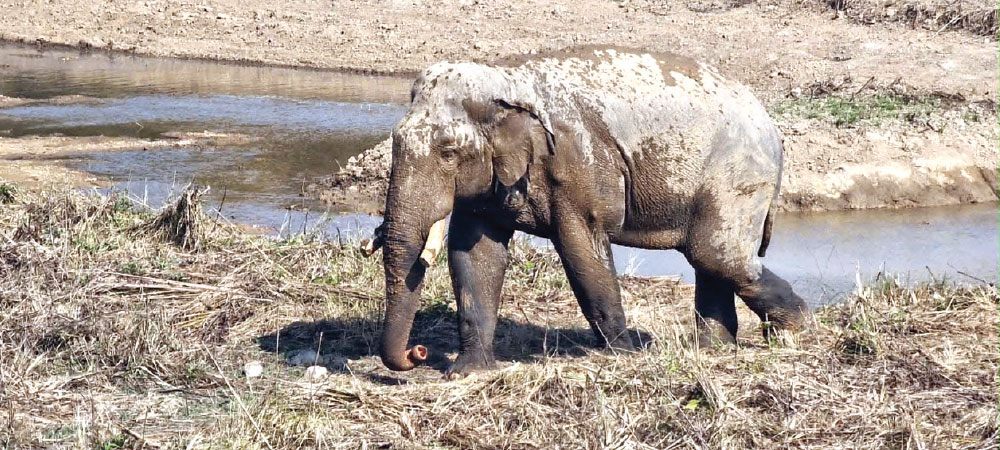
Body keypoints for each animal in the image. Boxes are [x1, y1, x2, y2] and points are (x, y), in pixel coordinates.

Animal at [372, 46, 807, 377]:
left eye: (448, 152)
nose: (417, 353)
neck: (506, 76)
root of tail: (770, 123)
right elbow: (474, 256)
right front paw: (467, 371)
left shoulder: (577, 164)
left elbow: (581, 250)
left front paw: (622, 356)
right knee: (710, 258)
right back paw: (713, 348)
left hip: (738, 176)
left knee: (716, 255)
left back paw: (792, 331)